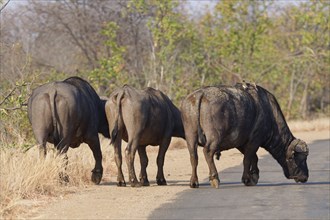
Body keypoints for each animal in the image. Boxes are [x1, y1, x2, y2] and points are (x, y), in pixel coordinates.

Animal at [179, 83, 308, 188]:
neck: (269, 112)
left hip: (190, 135)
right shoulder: (254, 140)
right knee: (208, 151)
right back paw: (215, 178)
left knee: (193, 156)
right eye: (299, 159)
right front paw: (247, 178)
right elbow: (247, 159)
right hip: (215, 137)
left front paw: (254, 176)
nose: (305, 176)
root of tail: (200, 95)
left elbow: (253, 158)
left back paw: (194, 182)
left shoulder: (240, 143)